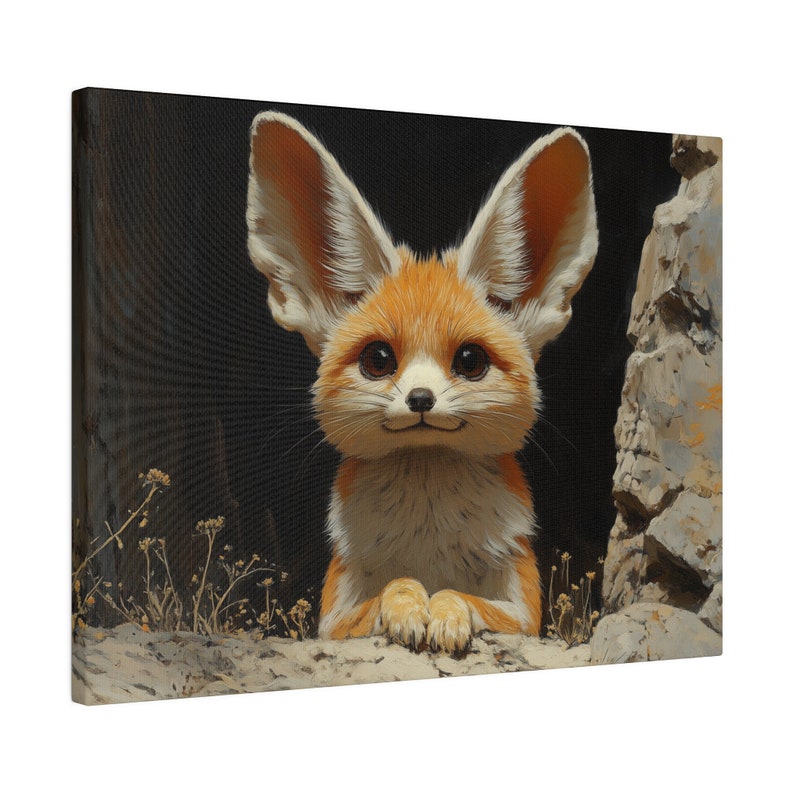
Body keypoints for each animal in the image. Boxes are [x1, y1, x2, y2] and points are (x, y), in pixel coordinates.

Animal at [246, 111, 598, 654]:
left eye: (470, 360)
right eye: (378, 359)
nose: (420, 399)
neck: (427, 531)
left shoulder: (526, 613)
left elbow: (464, 596)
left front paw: (447, 614)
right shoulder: (331, 616)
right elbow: (393, 587)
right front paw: (407, 607)